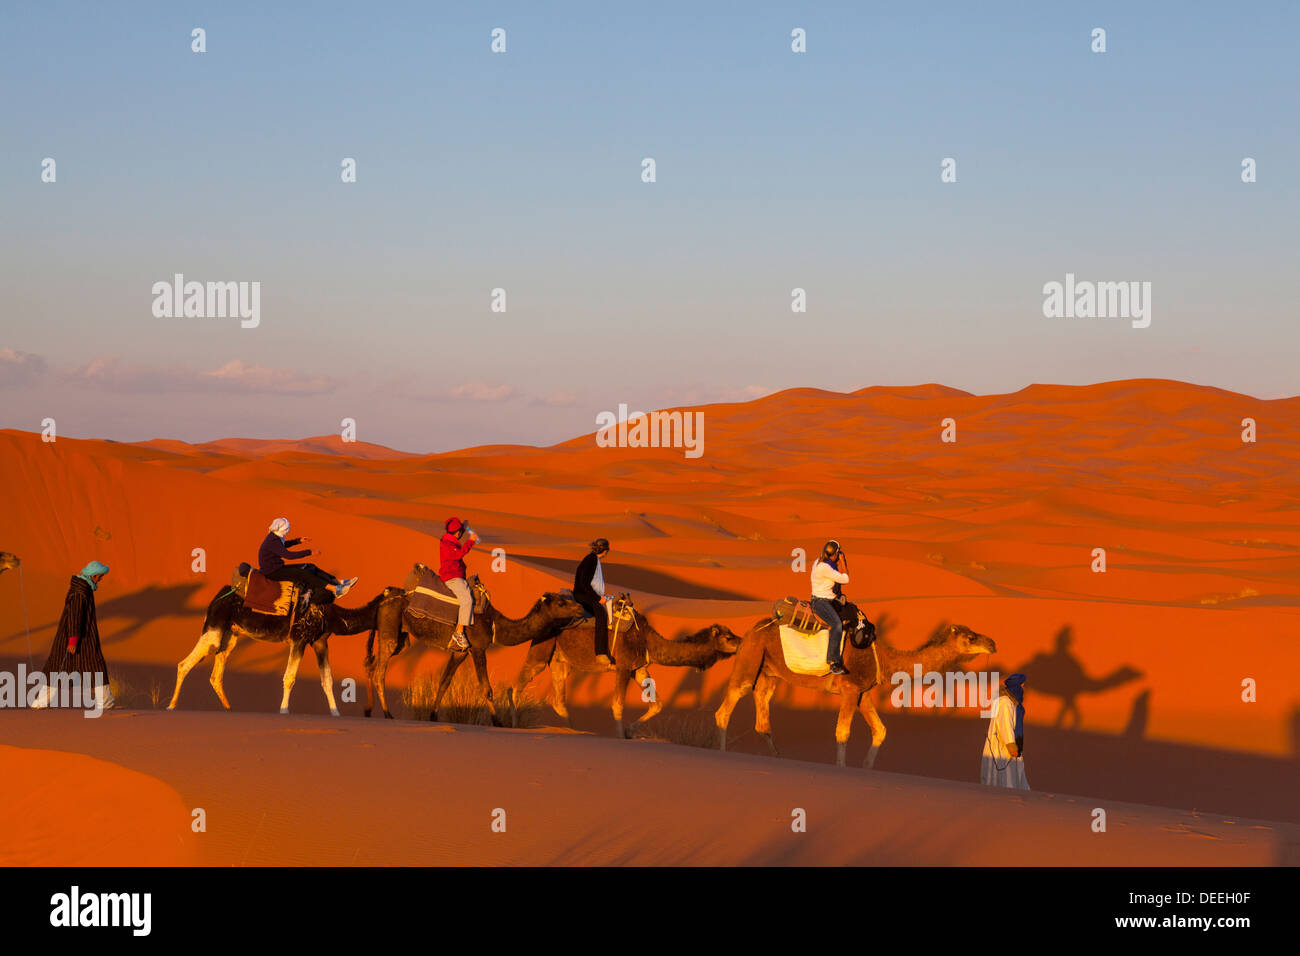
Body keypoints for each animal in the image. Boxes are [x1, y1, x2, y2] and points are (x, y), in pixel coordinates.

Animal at [170, 582, 400, 717]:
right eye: (401, 596)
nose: (405, 591)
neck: (332, 614)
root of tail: (216, 597)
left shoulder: (320, 642)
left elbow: (327, 680)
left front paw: (336, 714)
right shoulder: (298, 638)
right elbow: (289, 677)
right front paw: (284, 710)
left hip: (231, 634)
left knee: (216, 672)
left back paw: (229, 709)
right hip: (215, 626)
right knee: (185, 663)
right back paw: (171, 706)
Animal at [361, 582, 585, 723]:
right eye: (561, 603)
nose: (580, 608)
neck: (494, 624)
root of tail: (384, 597)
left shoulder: (461, 652)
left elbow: (444, 683)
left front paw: (433, 717)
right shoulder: (478, 648)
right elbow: (486, 688)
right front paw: (497, 722)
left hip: (399, 637)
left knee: (372, 665)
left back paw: (368, 710)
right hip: (390, 628)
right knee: (379, 672)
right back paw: (387, 714)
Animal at [501, 600, 738, 738]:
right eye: (728, 637)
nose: (741, 641)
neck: (647, 639)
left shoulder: (638, 668)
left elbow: (658, 704)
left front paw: (629, 731)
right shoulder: (623, 667)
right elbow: (617, 705)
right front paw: (621, 736)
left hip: (560, 660)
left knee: (558, 700)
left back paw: (573, 730)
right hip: (541, 648)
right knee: (516, 686)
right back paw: (514, 724)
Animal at [717, 621, 987, 770]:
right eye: (970, 637)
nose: (992, 643)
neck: (883, 659)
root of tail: (750, 631)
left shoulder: (862, 692)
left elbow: (880, 730)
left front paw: (866, 768)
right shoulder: (849, 689)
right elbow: (842, 732)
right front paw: (842, 768)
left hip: (769, 672)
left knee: (763, 717)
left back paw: (777, 758)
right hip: (750, 658)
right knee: (726, 708)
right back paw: (721, 754)